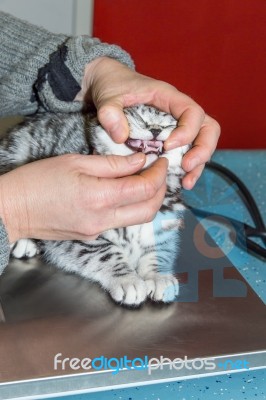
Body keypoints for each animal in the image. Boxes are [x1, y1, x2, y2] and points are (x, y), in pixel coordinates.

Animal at [0, 105, 188, 306]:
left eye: (168, 124)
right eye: (139, 117)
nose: (155, 129)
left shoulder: (164, 227)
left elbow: (159, 252)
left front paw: (159, 277)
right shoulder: (78, 236)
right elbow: (107, 253)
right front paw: (127, 279)